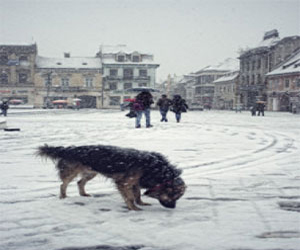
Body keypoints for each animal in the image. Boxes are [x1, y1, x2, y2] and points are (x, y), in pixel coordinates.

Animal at [38, 145, 185, 211]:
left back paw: (83, 194)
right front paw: (134, 208)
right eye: (173, 196)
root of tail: (68, 149)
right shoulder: (124, 182)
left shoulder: (135, 182)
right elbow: (130, 197)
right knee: (63, 184)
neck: (156, 169)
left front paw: (141, 203)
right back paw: (63, 196)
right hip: (72, 172)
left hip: (91, 172)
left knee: (80, 182)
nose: (173, 208)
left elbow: (137, 194)